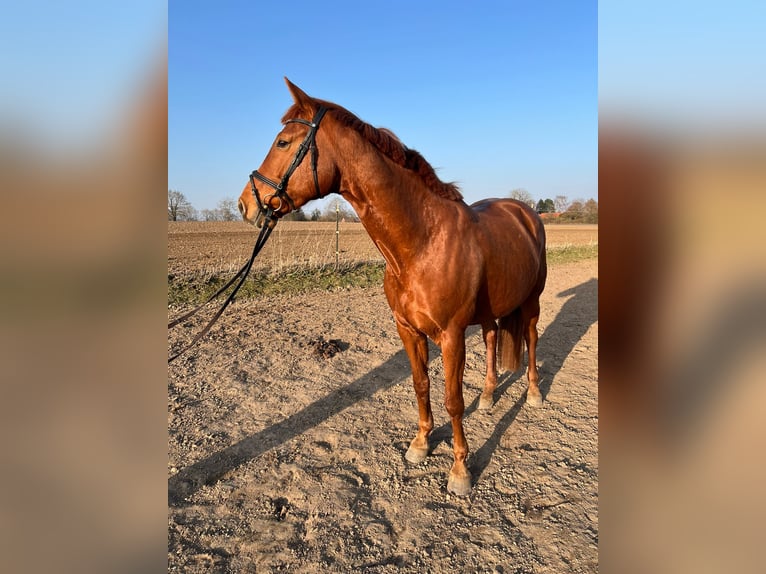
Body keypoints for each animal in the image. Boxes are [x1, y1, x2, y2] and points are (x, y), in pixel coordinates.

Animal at [238, 78, 547, 495]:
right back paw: (487, 396)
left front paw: (460, 470)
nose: (245, 205)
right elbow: (420, 385)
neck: (422, 243)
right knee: (492, 337)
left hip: (531, 303)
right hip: (489, 312)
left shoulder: (451, 335)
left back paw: (533, 393)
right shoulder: (407, 329)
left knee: (530, 339)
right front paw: (420, 444)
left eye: (283, 142)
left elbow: (452, 400)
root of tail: (525, 212)